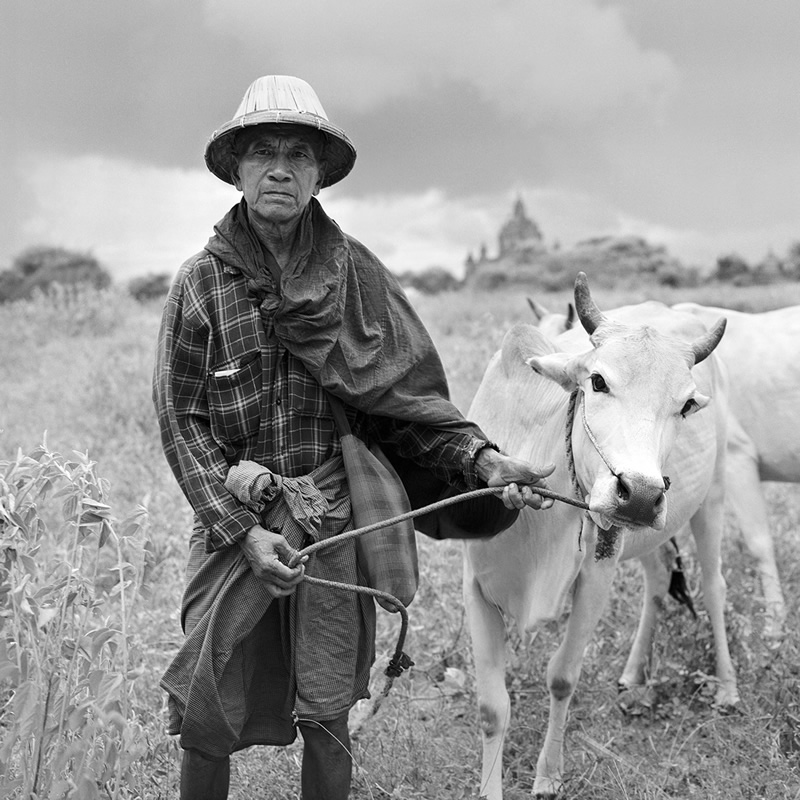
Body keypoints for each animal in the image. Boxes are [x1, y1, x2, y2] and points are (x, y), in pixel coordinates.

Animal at [468, 272, 736, 796]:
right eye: (597, 381)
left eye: (685, 405)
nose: (640, 496)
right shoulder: (475, 584)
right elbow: (491, 708)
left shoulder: (595, 576)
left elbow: (561, 678)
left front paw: (548, 775)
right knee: (658, 580)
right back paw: (633, 674)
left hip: (710, 498)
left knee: (714, 587)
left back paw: (728, 687)